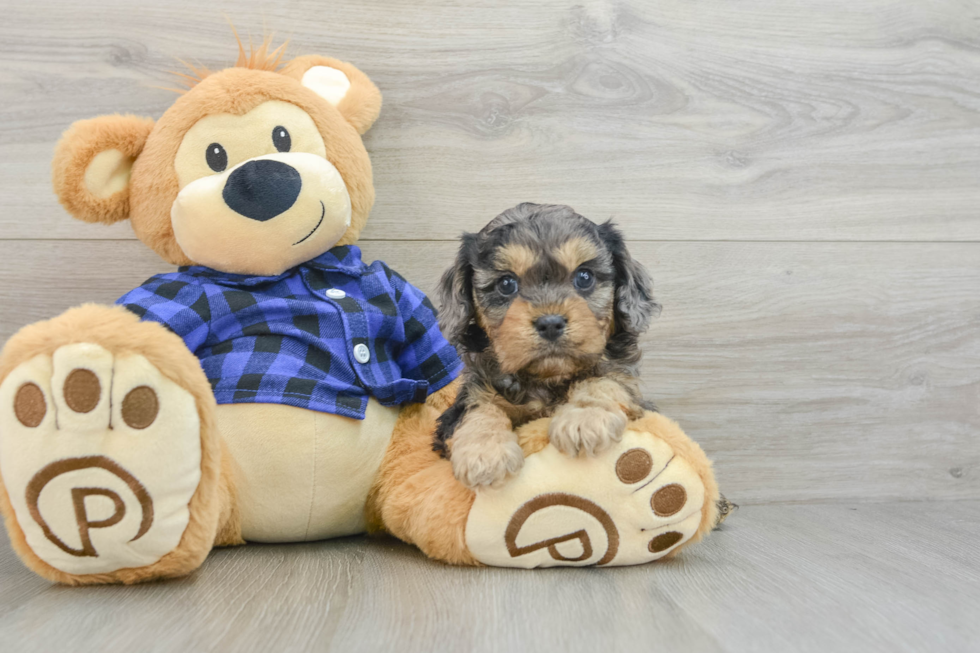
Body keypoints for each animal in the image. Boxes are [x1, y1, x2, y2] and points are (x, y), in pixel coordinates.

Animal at [434, 201, 660, 486]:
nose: (550, 323)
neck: (547, 379)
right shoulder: (469, 395)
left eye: (584, 277)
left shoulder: (628, 386)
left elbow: (605, 381)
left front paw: (584, 418)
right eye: (506, 283)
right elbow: (478, 407)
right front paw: (483, 452)